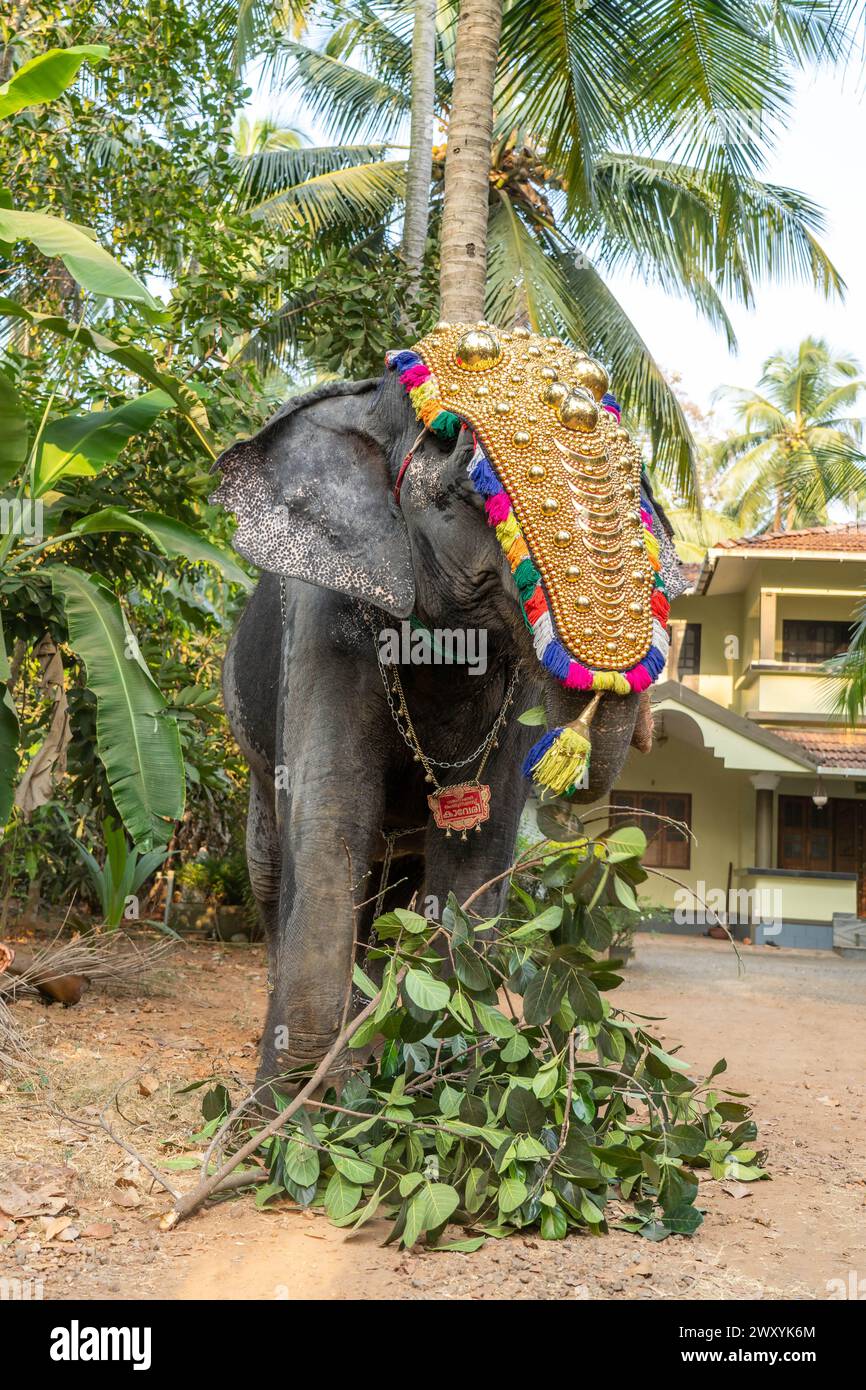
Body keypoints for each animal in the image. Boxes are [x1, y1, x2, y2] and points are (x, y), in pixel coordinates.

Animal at [212, 352, 682, 1087]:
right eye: (468, 492)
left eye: (640, 491)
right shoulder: (323, 620)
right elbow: (329, 818)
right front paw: (286, 1115)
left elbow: (472, 851)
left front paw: (441, 1086)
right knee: (269, 865)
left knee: (393, 892)